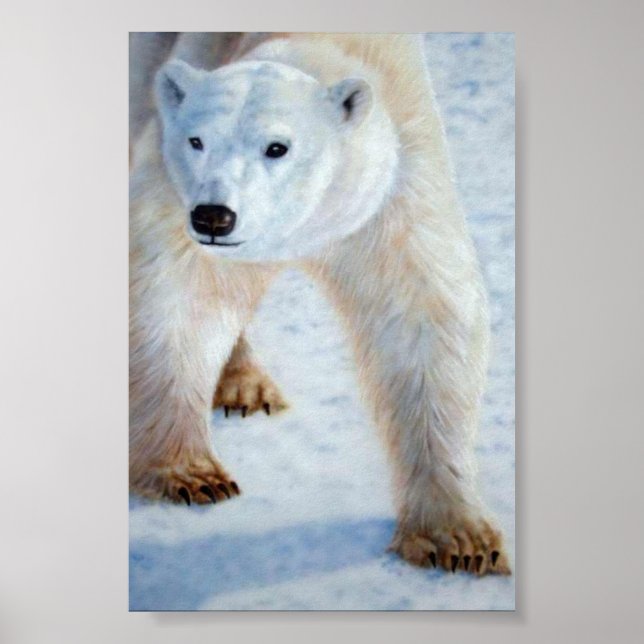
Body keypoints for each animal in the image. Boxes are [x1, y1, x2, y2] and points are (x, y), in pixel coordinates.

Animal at [129, 32, 511, 576]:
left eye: (277, 147)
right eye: (196, 140)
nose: (214, 217)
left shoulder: (393, 190)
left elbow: (423, 316)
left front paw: (459, 541)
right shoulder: (173, 192)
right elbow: (177, 298)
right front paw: (189, 475)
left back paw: (246, 386)